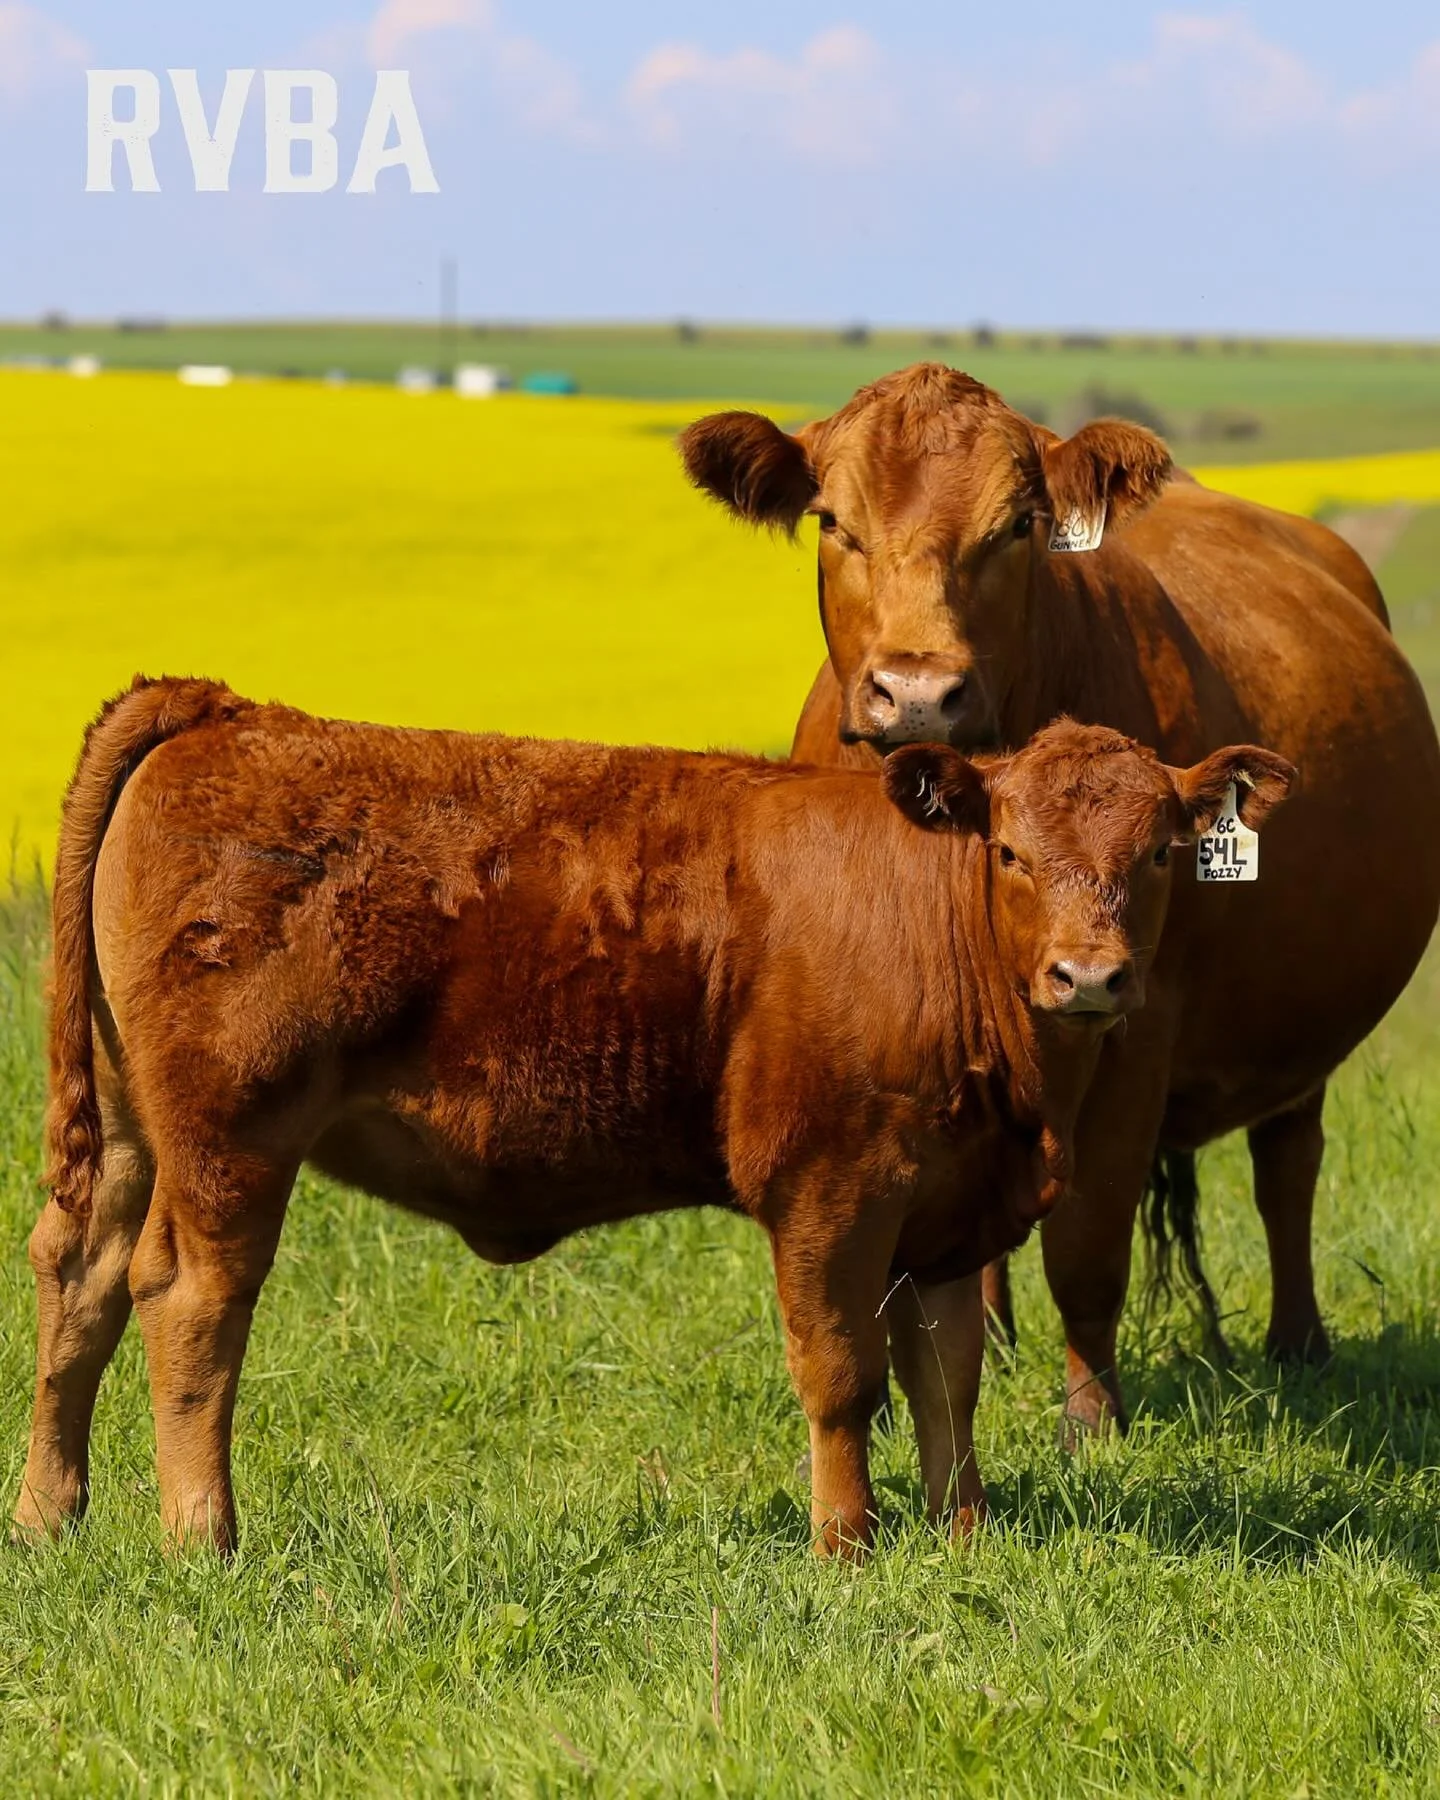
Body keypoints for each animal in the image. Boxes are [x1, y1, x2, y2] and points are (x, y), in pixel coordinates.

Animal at [14, 676, 1291, 1557]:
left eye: (1162, 851)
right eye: (1014, 851)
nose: (1090, 977)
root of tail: (229, 710)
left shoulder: (951, 1209)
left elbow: (948, 1378)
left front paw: (962, 1534)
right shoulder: (830, 1188)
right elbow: (844, 1374)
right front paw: (847, 1545)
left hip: (133, 1132)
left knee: (81, 1277)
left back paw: (47, 1514)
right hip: (230, 1140)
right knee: (191, 1303)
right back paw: (202, 1535)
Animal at [679, 363, 1440, 1431]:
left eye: (1019, 526)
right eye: (834, 521)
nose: (917, 694)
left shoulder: (1132, 1022)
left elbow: (1087, 1241)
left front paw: (1092, 1421)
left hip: (1301, 1028)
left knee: (1287, 1164)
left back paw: (1299, 1346)